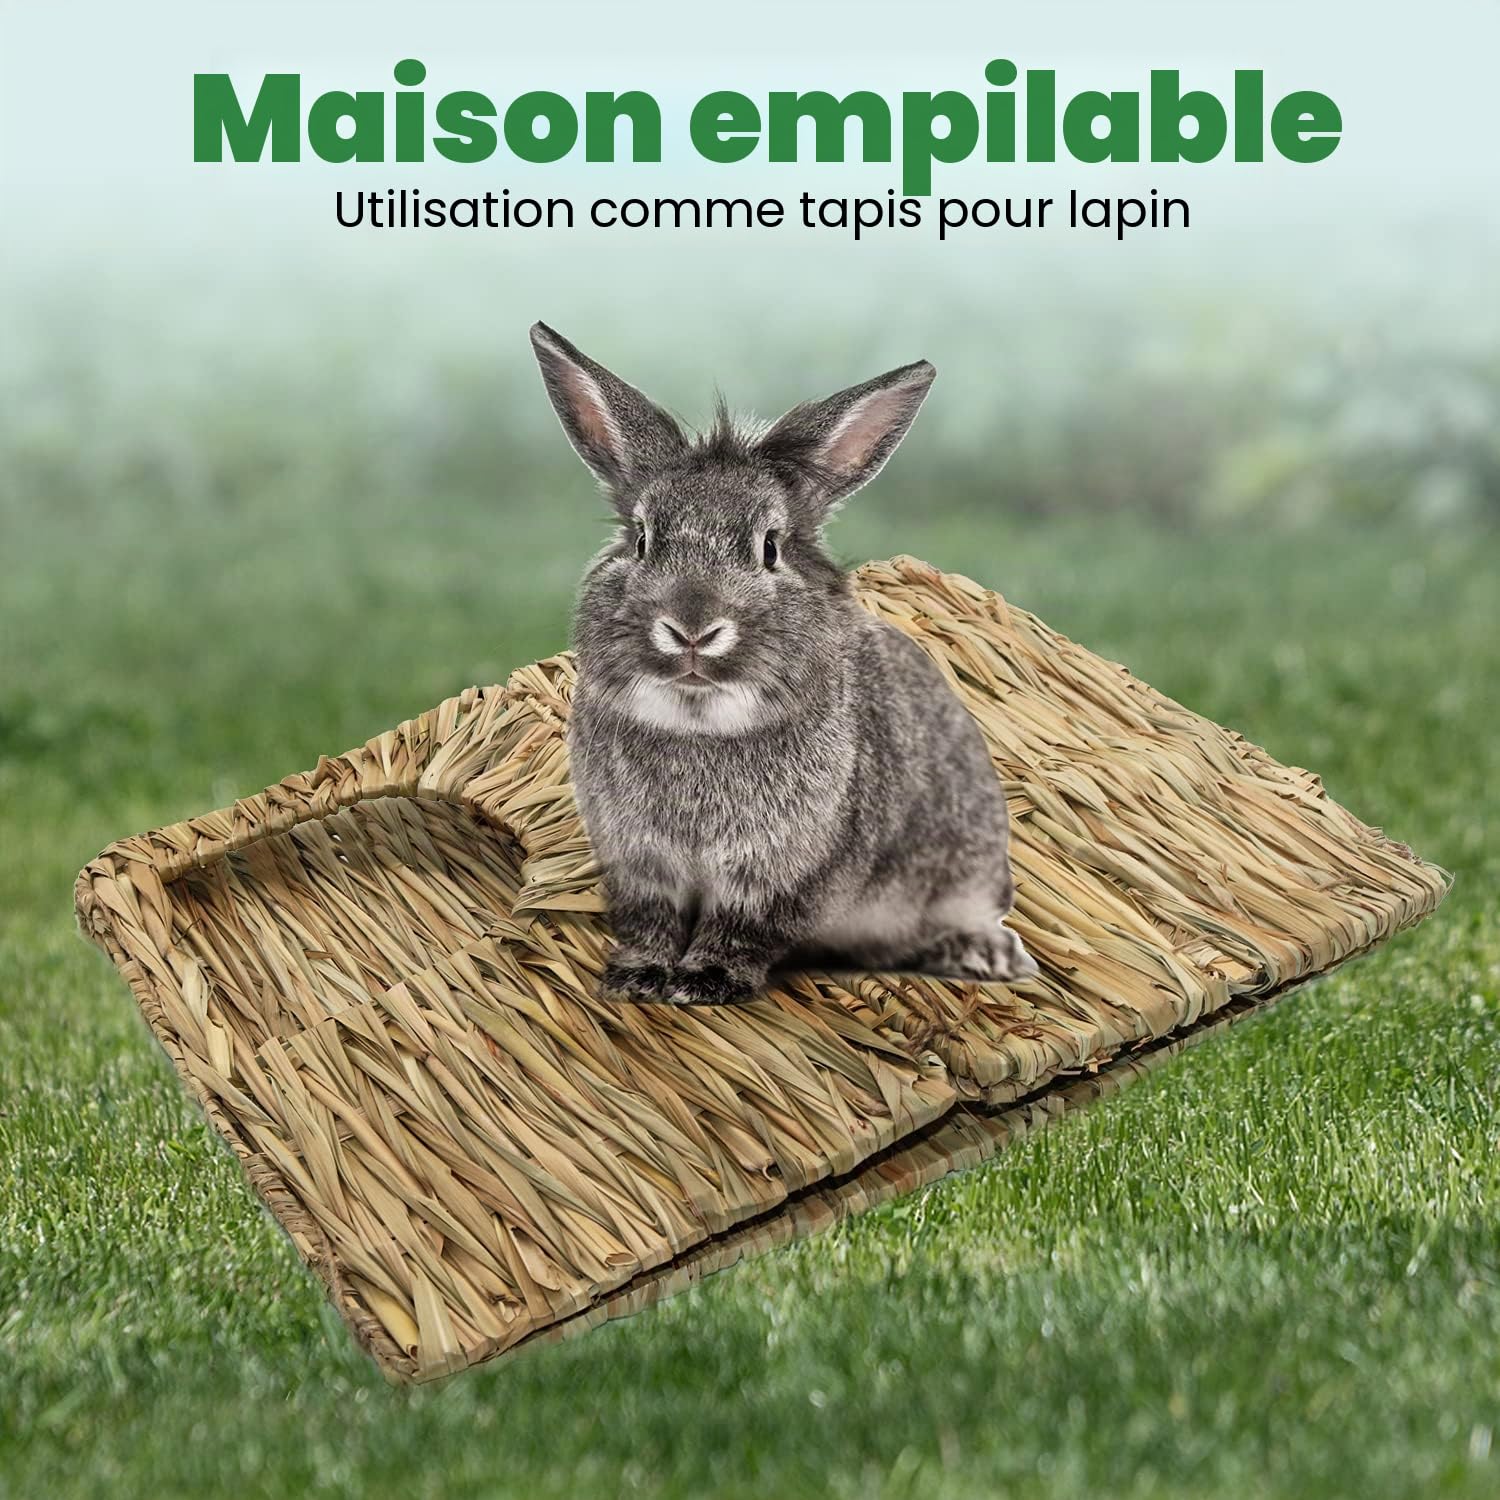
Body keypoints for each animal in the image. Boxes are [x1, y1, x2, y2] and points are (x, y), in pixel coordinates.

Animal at [529, 321, 1038, 1006]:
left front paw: (707, 981)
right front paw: (637, 977)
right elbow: (649, 922)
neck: (700, 726)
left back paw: (987, 955)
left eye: (770, 548)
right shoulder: (639, 865)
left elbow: (743, 929)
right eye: (641, 540)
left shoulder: (783, 876)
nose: (693, 629)